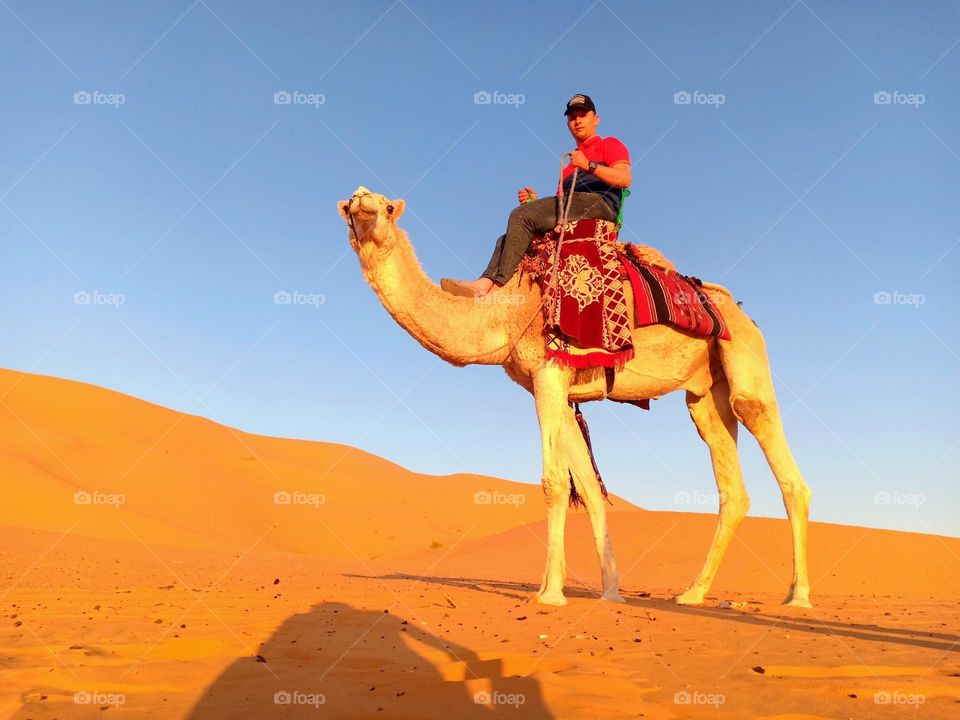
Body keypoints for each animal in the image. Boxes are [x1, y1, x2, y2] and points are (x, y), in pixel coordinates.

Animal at [339, 186, 812, 608]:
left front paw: (549, 593)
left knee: (776, 452)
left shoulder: (549, 373)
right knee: (730, 480)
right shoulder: (552, 387)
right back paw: (693, 593)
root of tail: (743, 314)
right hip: (705, 393)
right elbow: (585, 485)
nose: (361, 201)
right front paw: (610, 591)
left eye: (386, 206)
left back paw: (798, 596)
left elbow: (553, 482)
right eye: (350, 206)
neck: (504, 313)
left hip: (746, 357)